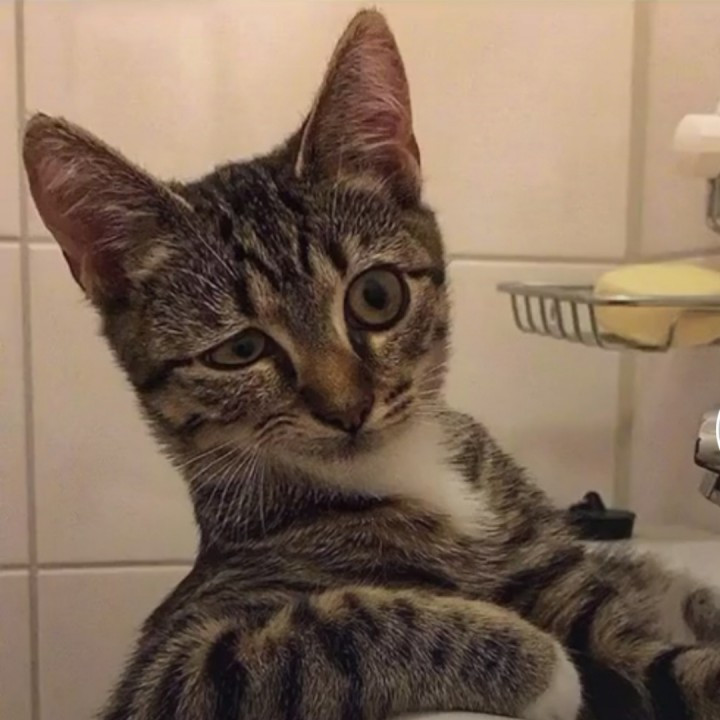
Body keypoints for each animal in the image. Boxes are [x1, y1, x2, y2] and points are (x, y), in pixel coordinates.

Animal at [23, 9, 720, 720]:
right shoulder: (171, 671)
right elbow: (334, 629)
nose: (347, 408)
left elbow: (659, 656)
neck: (411, 471)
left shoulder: (562, 571)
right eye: (240, 351)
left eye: (376, 297)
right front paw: (538, 661)